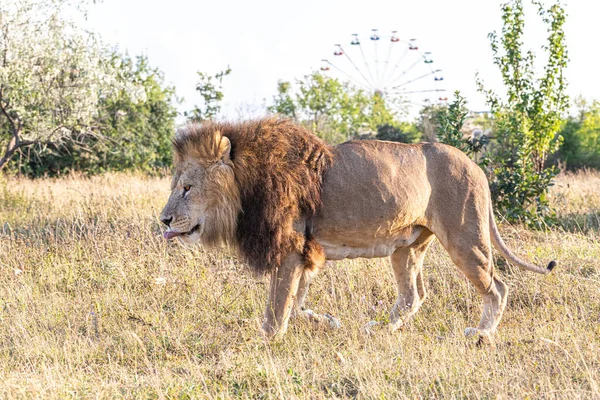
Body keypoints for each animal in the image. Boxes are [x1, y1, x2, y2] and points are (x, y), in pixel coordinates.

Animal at [159, 118, 556, 340]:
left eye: (187, 188)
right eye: (176, 185)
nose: (163, 221)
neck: (246, 187)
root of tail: (477, 167)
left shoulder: (289, 247)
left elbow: (278, 304)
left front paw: (265, 340)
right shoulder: (306, 250)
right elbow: (297, 300)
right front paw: (326, 322)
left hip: (465, 237)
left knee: (498, 287)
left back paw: (483, 334)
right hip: (408, 246)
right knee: (413, 295)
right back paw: (378, 328)